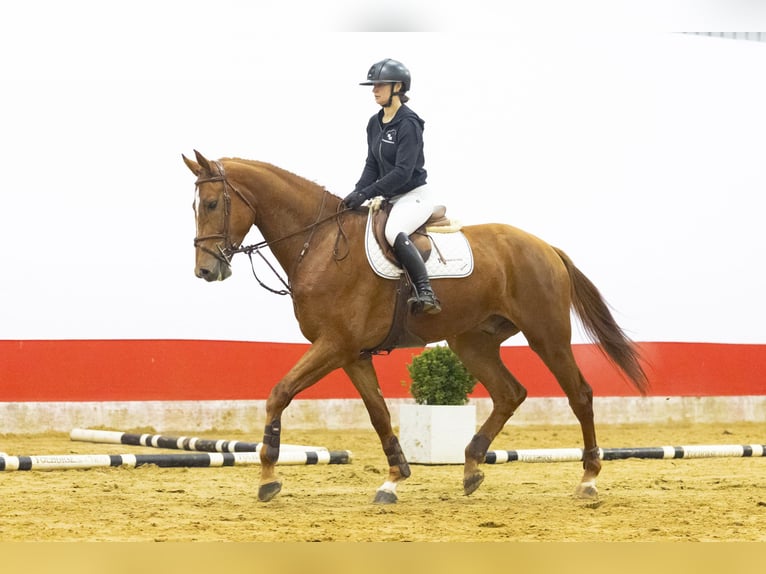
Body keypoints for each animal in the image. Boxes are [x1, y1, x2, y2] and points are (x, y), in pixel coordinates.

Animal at [183, 150, 648, 504]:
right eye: (194, 206)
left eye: (212, 204)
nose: (205, 270)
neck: (319, 244)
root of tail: (545, 246)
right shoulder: (351, 354)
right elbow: (379, 414)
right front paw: (393, 478)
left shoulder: (334, 345)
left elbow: (279, 393)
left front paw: (268, 478)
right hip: (471, 342)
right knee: (510, 393)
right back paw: (472, 467)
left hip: (546, 335)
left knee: (580, 395)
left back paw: (588, 479)